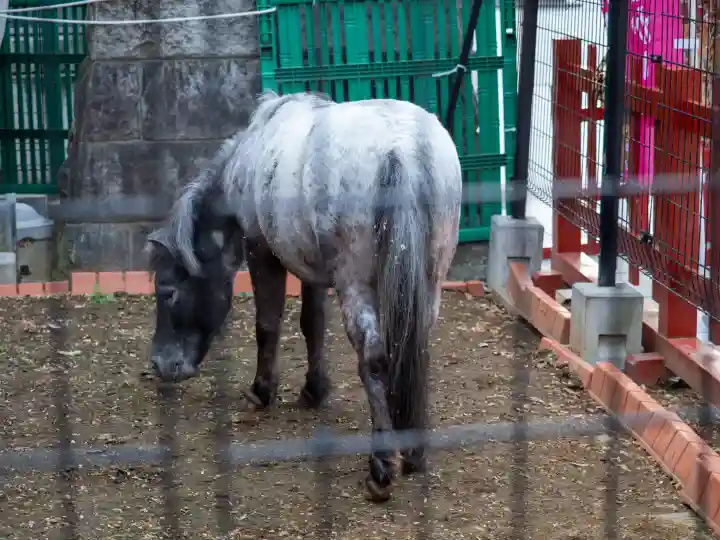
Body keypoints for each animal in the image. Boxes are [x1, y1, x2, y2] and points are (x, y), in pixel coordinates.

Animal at [146, 90, 462, 501]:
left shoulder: (261, 251)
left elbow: (268, 325)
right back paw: (412, 449)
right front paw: (314, 389)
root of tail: (401, 148)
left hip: (356, 285)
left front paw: (261, 391)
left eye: (168, 292)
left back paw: (380, 469)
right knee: (413, 347)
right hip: (427, 283)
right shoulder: (313, 272)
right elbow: (313, 325)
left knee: (374, 359)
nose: (160, 364)